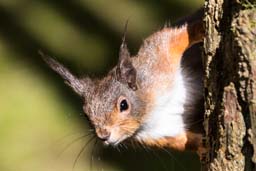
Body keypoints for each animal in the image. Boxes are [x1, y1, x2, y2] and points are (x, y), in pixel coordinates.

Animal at [40, 8, 204, 154]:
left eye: (123, 105)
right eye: (86, 114)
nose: (104, 136)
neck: (151, 111)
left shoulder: (159, 55)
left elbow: (178, 37)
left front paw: (201, 29)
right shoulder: (163, 133)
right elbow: (187, 141)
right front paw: (203, 147)